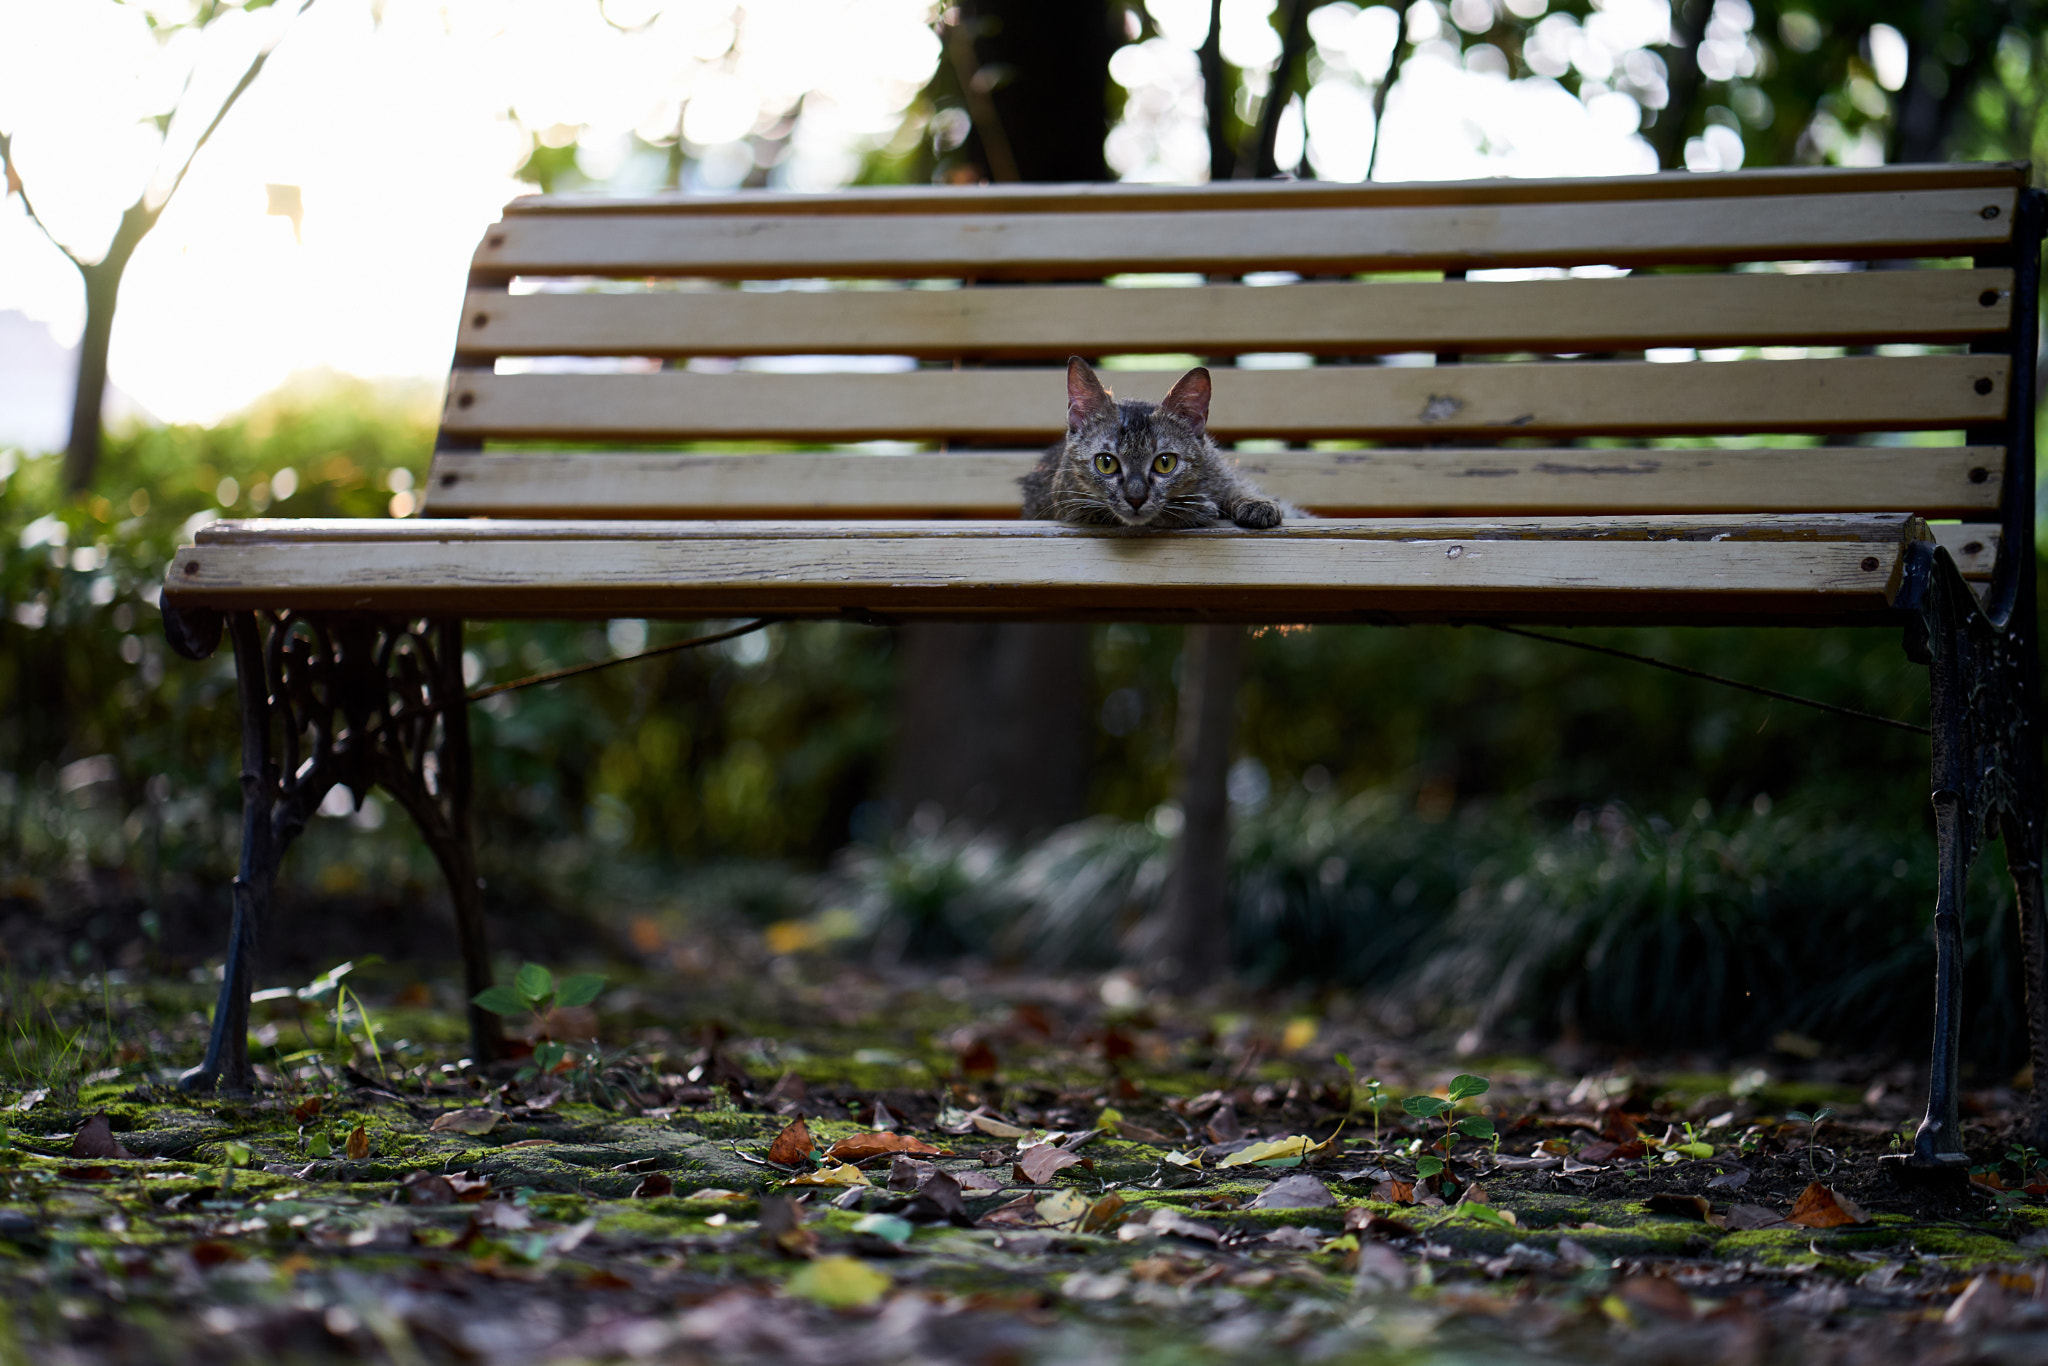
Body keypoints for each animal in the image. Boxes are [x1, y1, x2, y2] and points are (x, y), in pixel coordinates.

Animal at [1019, 358, 1286, 528]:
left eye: (1165, 463)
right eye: (1105, 463)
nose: (1136, 499)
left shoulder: (1221, 472)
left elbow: (1237, 487)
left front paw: (1257, 503)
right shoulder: (1069, 503)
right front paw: (1194, 510)